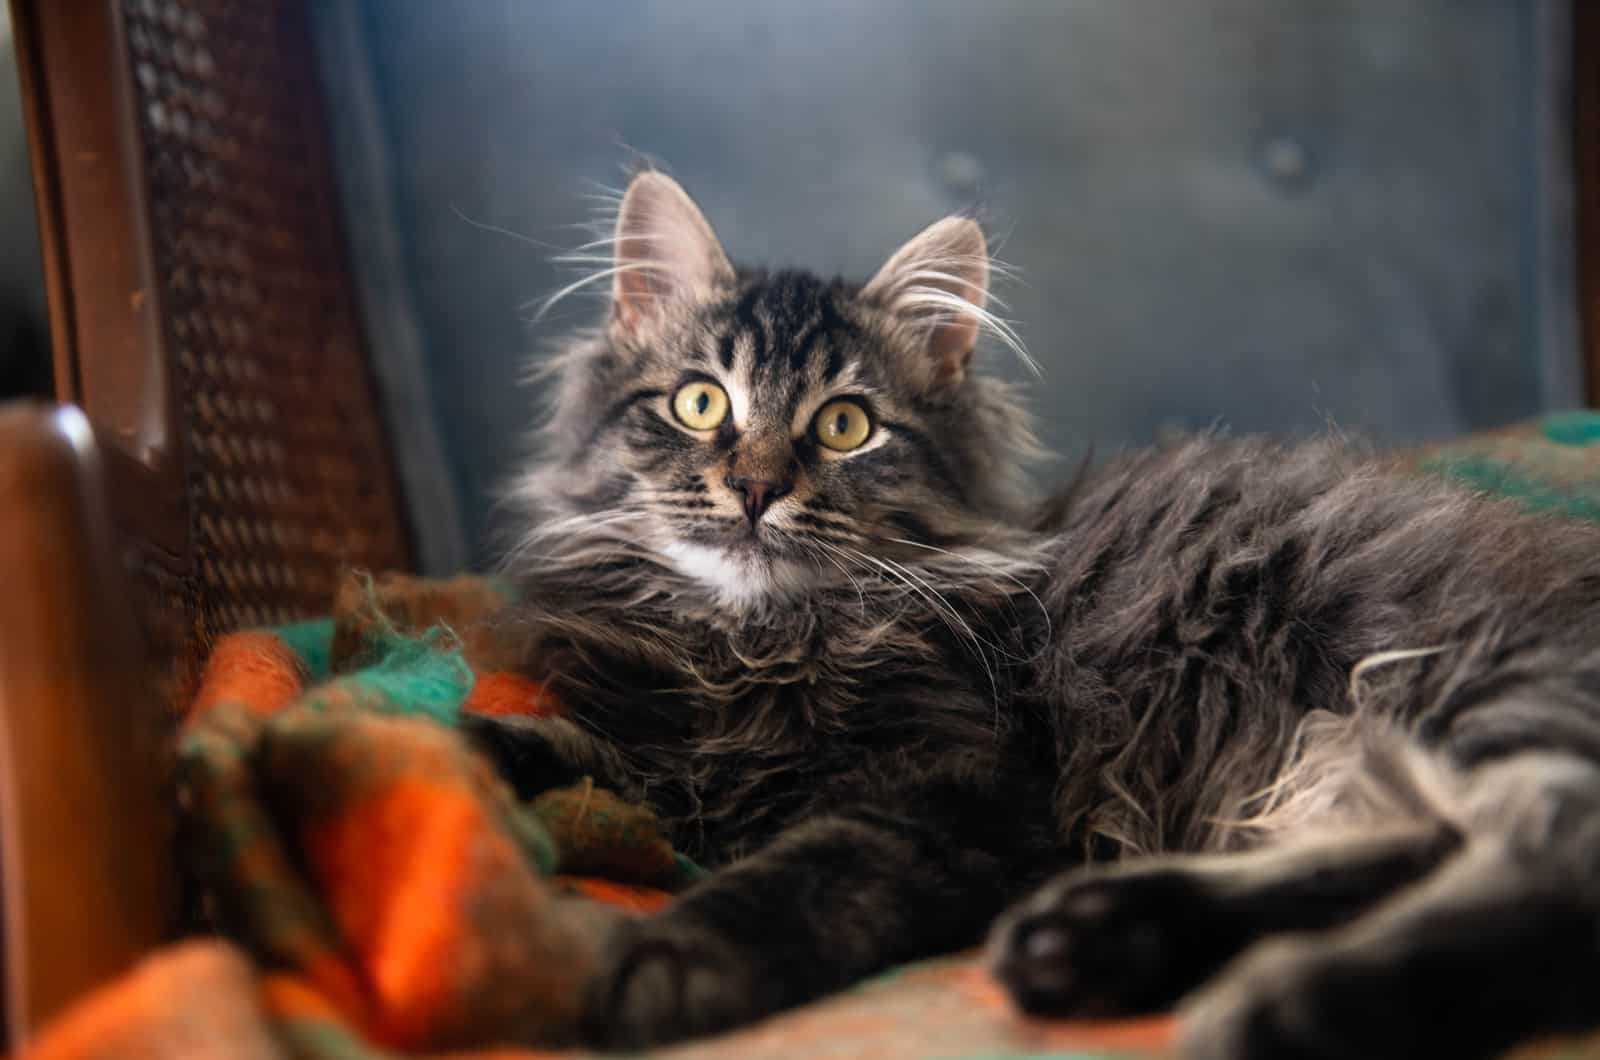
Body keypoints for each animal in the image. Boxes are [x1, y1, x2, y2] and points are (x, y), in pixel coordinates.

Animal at [467, 170, 1600, 1056]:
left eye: (844, 426)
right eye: (700, 403)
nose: (752, 489)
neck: (750, 645)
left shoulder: (958, 787)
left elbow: (801, 873)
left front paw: (660, 959)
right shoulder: (661, 758)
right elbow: (550, 749)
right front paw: (463, 754)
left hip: (1459, 676)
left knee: (1550, 862)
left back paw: (1294, 999)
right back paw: (1099, 938)